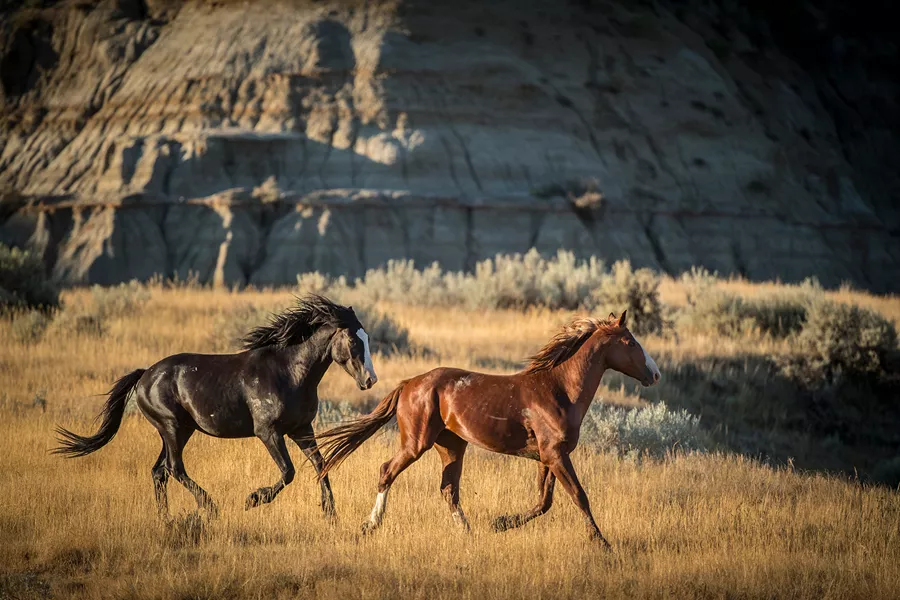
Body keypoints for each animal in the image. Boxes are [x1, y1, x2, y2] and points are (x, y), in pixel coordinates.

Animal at [54, 295, 378, 519]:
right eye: (353, 340)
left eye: (366, 337)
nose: (370, 380)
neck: (289, 372)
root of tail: (145, 374)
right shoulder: (269, 432)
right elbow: (288, 472)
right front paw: (253, 499)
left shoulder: (301, 429)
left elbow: (321, 465)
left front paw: (330, 514)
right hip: (172, 427)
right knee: (174, 468)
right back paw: (209, 507)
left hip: (179, 431)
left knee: (159, 472)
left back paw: (166, 519)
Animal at [313, 310, 660, 547]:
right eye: (630, 341)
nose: (655, 374)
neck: (558, 389)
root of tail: (409, 383)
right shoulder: (556, 455)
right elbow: (578, 495)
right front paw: (603, 544)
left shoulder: (549, 457)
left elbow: (544, 501)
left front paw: (501, 522)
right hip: (416, 443)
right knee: (387, 471)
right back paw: (370, 525)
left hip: (452, 446)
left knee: (448, 490)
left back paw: (469, 534)